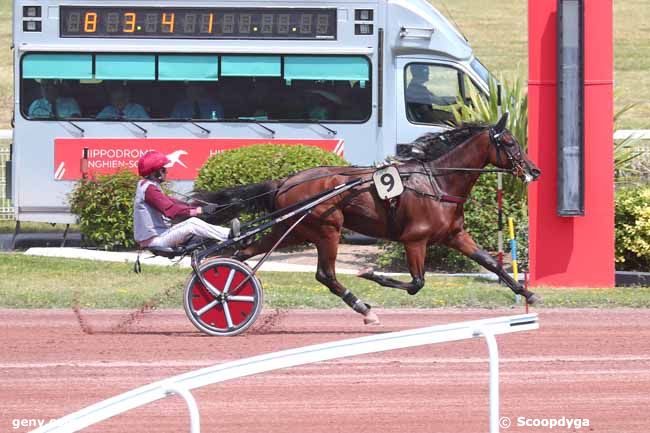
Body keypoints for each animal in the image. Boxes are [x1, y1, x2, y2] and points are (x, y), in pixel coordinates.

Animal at [195, 115, 540, 324]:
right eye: (509, 143)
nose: (534, 170)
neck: (438, 182)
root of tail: (285, 181)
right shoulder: (415, 240)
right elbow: (416, 283)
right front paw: (370, 272)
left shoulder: (455, 235)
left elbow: (492, 263)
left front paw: (528, 294)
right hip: (327, 229)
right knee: (325, 275)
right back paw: (362, 307)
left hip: (292, 230)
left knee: (242, 253)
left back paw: (222, 288)